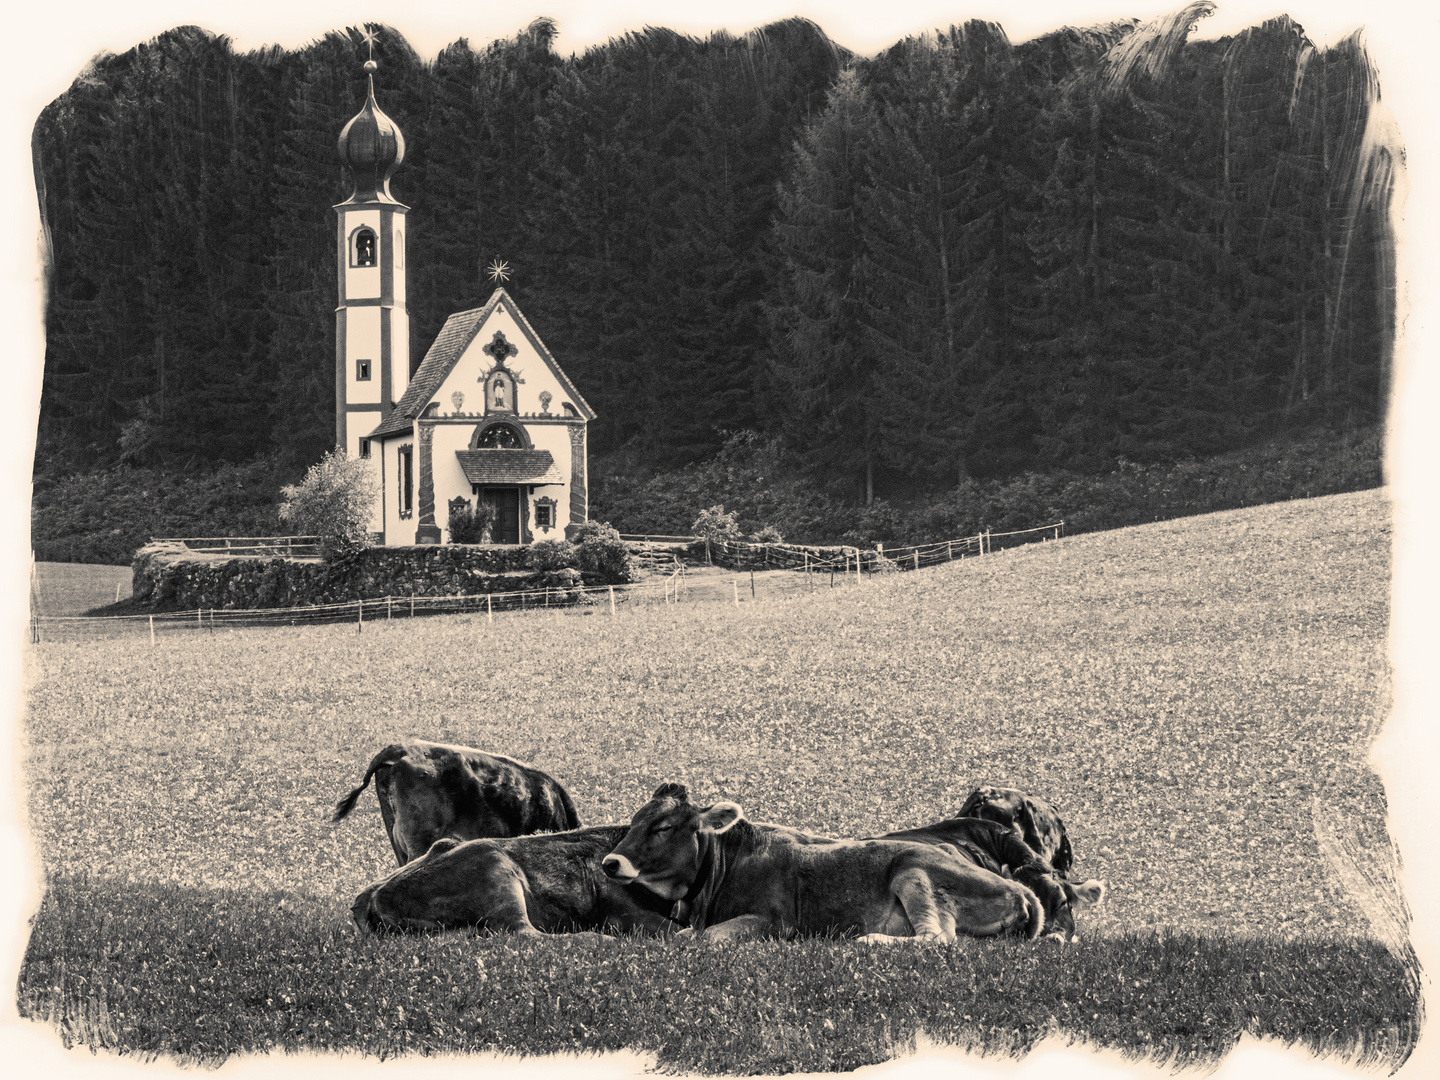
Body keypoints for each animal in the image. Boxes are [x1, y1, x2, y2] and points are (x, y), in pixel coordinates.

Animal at [599, 789, 1048, 944]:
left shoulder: (775, 921)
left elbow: (702, 939)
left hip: (913, 871)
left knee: (937, 940)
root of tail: (1022, 891)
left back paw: (871, 940)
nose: (610, 862)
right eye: (634, 820)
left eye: (663, 826)